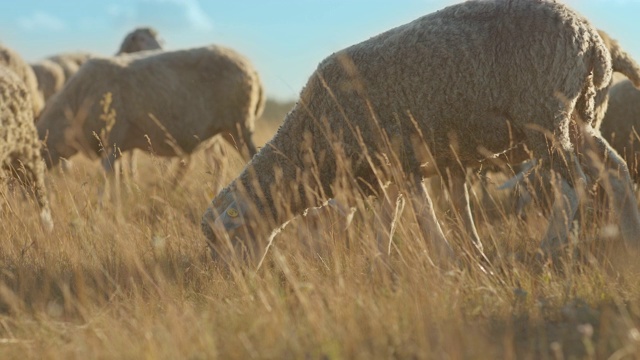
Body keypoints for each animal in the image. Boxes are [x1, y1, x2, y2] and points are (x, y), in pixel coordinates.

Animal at [36, 44, 264, 177]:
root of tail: (253, 70)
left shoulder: (111, 143)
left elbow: (106, 183)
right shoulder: (116, 149)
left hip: (239, 125)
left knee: (251, 158)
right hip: (223, 131)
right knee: (220, 162)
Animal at [200, 0, 640, 264]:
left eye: (228, 238)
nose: (237, 284)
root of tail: (593, 40)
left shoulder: (404, 160)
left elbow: (423, 219)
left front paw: (447, 261)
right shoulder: (389, 169)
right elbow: (387, 222)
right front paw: (381, 265)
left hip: (544, 114)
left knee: (572, 182)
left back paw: (550, 247)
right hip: (578, 117)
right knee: (616, 171)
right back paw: (628, 237)